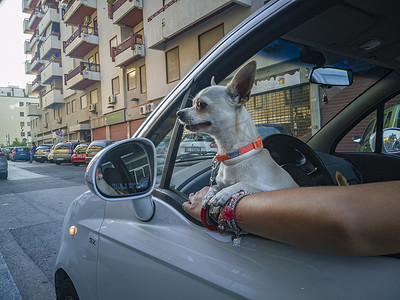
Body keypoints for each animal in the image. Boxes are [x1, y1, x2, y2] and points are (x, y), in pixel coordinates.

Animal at [177, 60, 298, 206]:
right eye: (193, 103)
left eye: (200, 104)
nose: (179, 112)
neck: (235, 156)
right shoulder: (220, 183)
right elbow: (214, 186)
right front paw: (208, 194)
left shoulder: (269, 190)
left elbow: (243, 184)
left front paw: (223, 193)